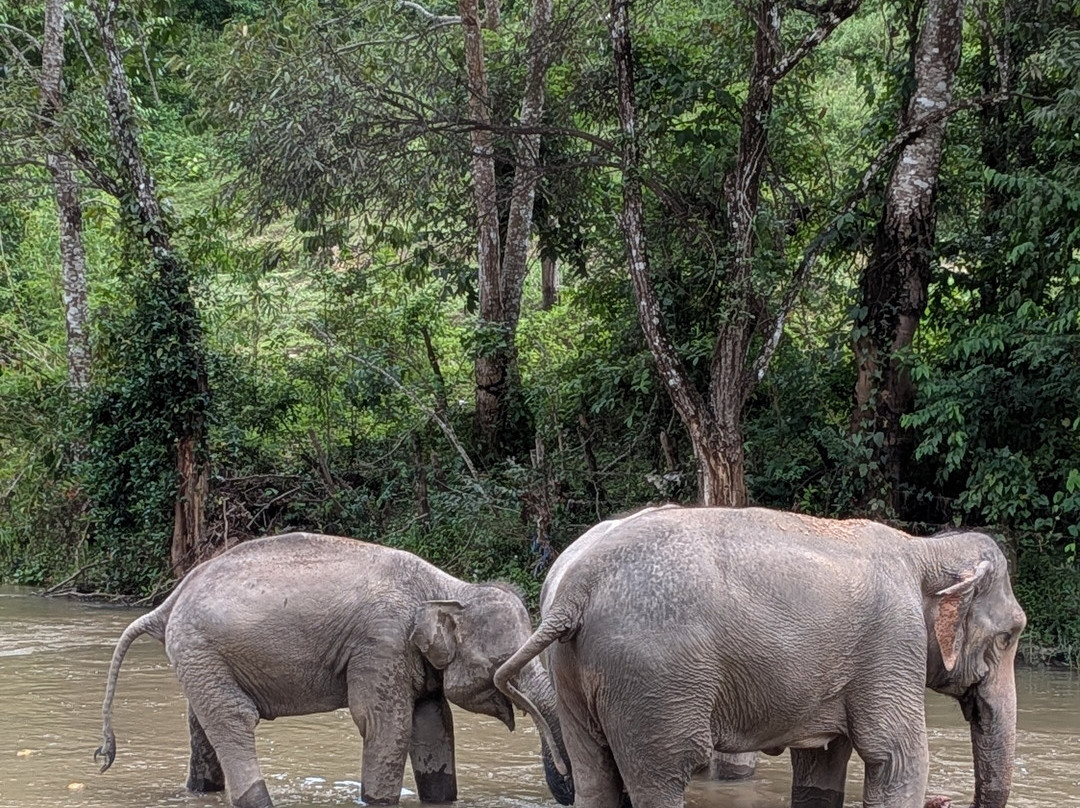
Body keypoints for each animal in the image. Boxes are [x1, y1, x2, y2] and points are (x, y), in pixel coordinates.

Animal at [95, 532, 574, 808]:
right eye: (501, 668)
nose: (566, 789)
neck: (447, 587)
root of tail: (167, 603)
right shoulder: (381, 644)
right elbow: (385, 723)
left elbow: (433, 721)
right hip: (199, 651)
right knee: (232, 719)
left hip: (199, 657)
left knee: (201, 723)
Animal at [498, 506, 1025, 808]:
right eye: (1008, 637)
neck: (925, 549)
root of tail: (579, 585)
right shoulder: (893, 643)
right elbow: (897, 757)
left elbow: (820, 765)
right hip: (654, 680)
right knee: (662, 776)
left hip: (574, 673)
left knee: (594, 777)